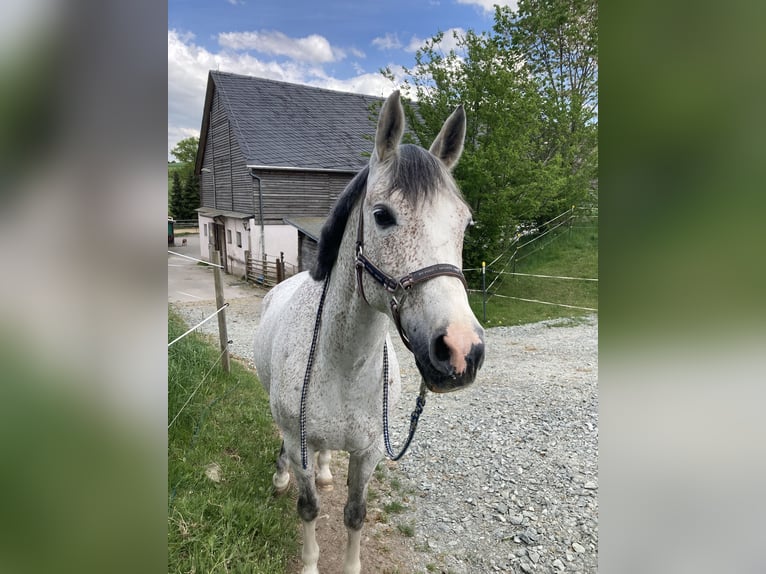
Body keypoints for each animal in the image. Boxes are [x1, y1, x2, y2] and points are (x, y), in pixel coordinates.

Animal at [256, 92, 486, 572]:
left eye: (465, 223)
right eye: (382, 215)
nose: (462, 350)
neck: (343, 363)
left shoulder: (369, 452)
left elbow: (355, 514)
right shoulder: (297, 438)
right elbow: (308, 508)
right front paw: (310, 562)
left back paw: (326, 470)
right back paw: (281, 476)